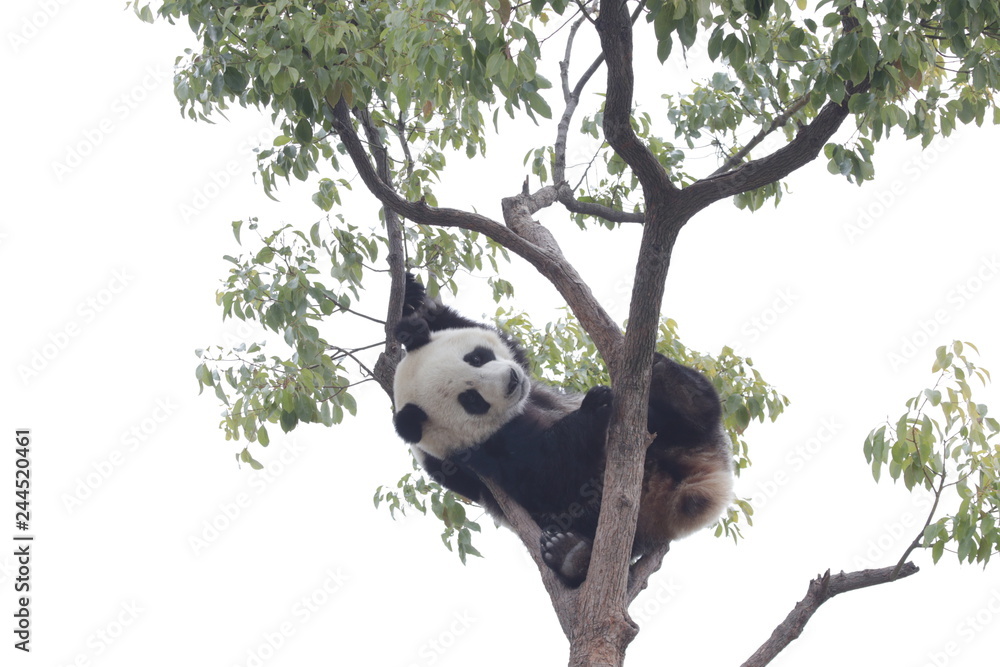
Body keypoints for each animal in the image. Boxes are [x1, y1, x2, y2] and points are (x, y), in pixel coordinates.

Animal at [392, 275, 733, 587]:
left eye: (476, 358)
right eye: (471, 399)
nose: (512, 380)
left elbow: (497, 340)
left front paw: (414, 302)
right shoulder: (479, 455)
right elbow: (548, 474)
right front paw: (593, 407)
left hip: (681, 437)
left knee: (696, 413)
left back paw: (672, 382)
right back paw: (570, 555)